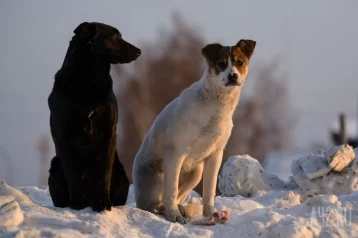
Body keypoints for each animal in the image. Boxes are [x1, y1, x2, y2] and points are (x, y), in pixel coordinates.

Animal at [47, 22, 141, 212]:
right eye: (115, 36)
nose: (139, 51)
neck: (89, 82)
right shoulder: (61, 135)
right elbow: (71, 173)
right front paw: (77, 203)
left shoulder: (109, 133)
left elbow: (104, 173)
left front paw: (103, 203)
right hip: (55, 168)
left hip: (121, 174)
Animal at [133, 39, 256, 223]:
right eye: (221, 64)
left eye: (239, 62)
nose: (233, 76)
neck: (214, 107)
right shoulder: (176, 152)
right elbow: (171, 190)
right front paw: (174, 216)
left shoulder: (215, 155)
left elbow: (209, 191)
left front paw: (211, 215)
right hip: (155, 180)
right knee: (157, 203)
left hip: (195, 173)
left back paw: (182, 209)